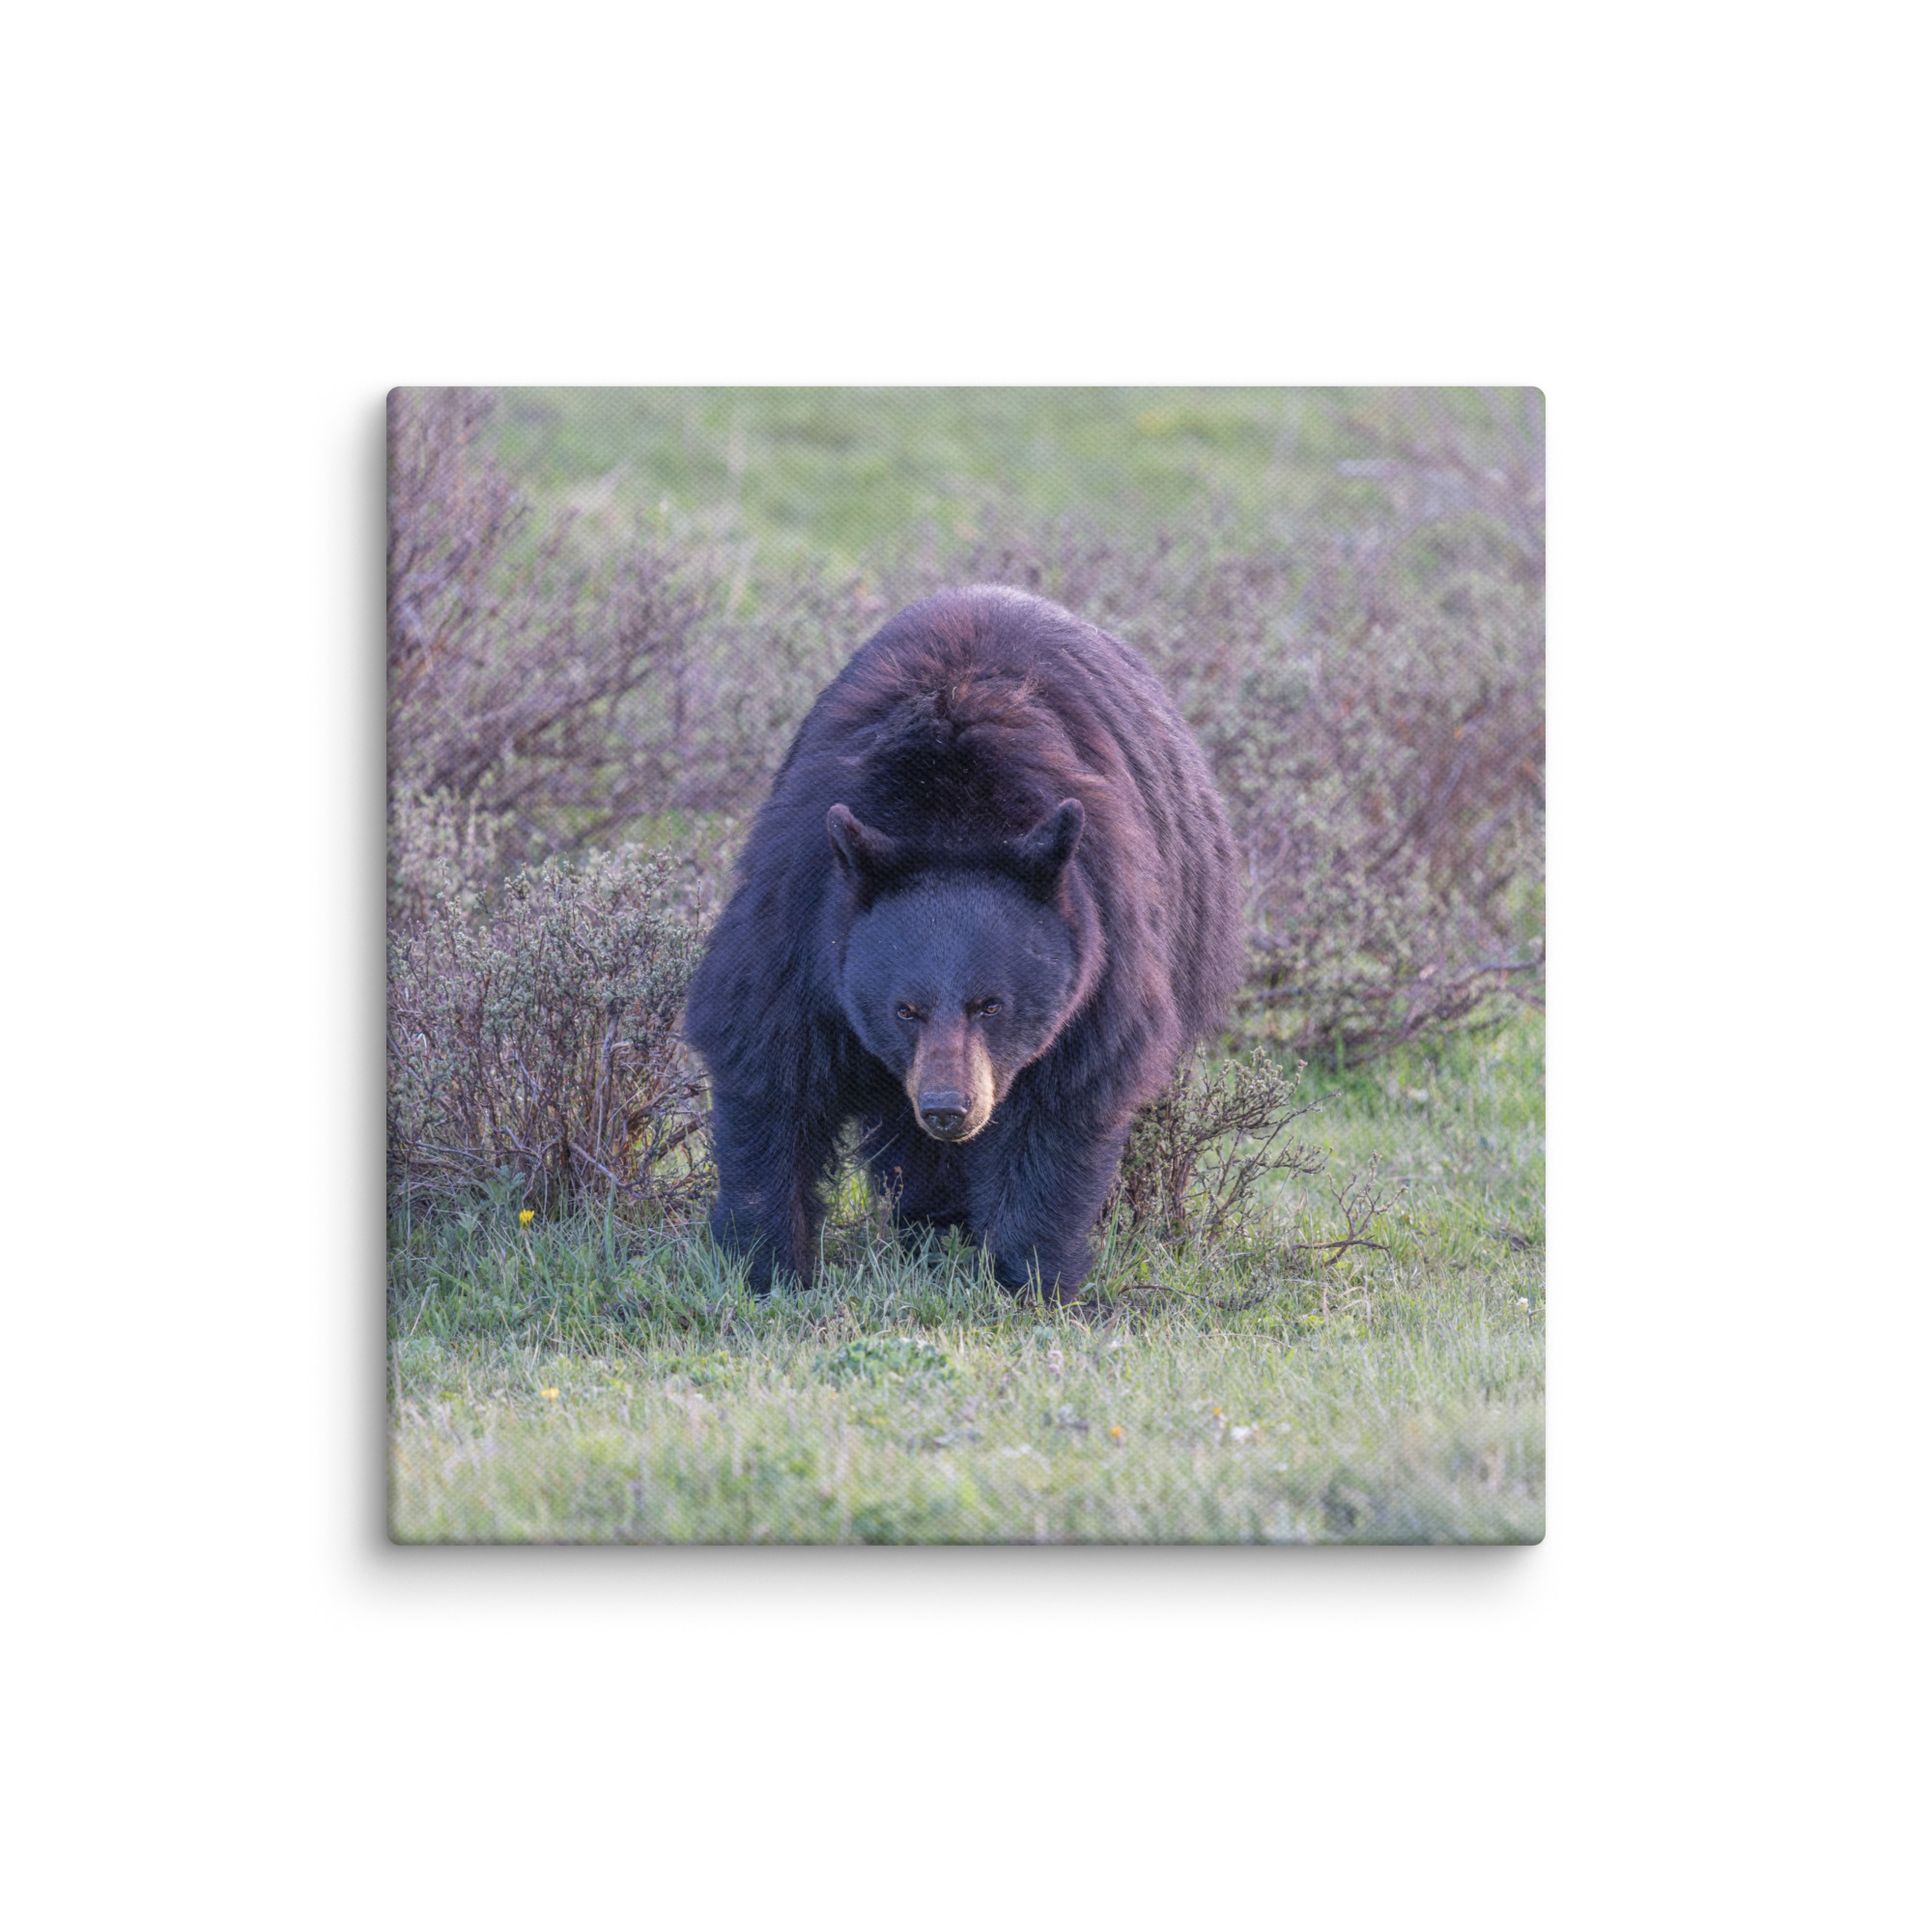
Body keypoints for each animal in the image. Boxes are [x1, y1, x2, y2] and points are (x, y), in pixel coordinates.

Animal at [683, 584, 1243, 1301]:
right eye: (905, 1009)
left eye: (992, 1004)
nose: (950, 1109)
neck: (950, 814)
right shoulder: (802, 915)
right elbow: (768, 1063)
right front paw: (767, 1264)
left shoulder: (1104, 941)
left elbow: (1065, 1100)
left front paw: (1032, 1277)